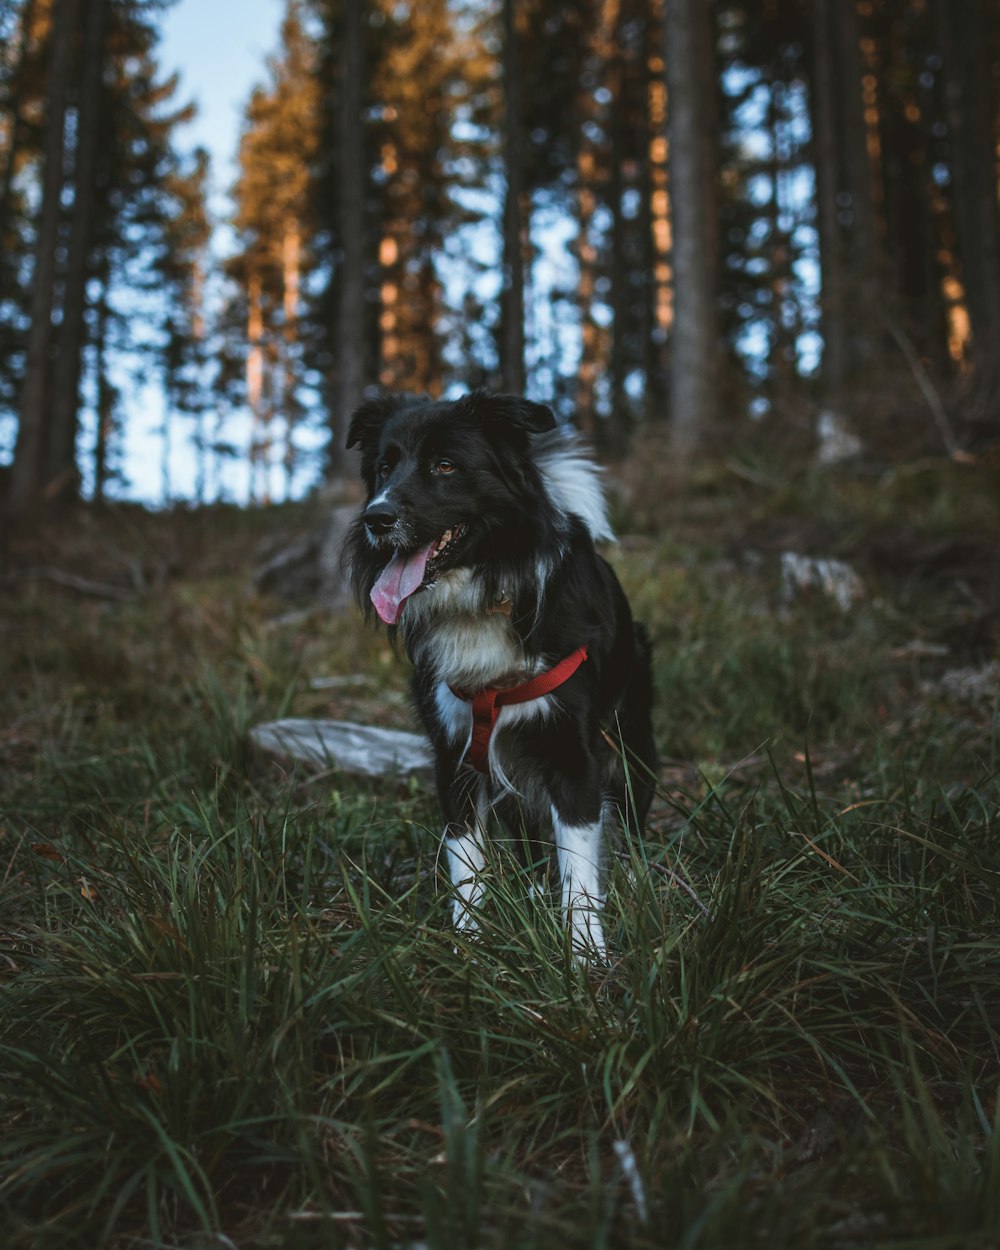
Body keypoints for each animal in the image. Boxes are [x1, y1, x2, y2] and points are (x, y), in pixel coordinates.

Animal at [345, 390, 655, 955]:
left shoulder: (572, 752)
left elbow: (579, 868)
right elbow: (466, 862)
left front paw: (586, 954)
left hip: (630, 737)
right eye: (384, 468)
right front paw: (467, 946)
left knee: (630, 813)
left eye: (445, 465)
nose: (376, 519)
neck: (483, 595)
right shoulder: (455, 753)